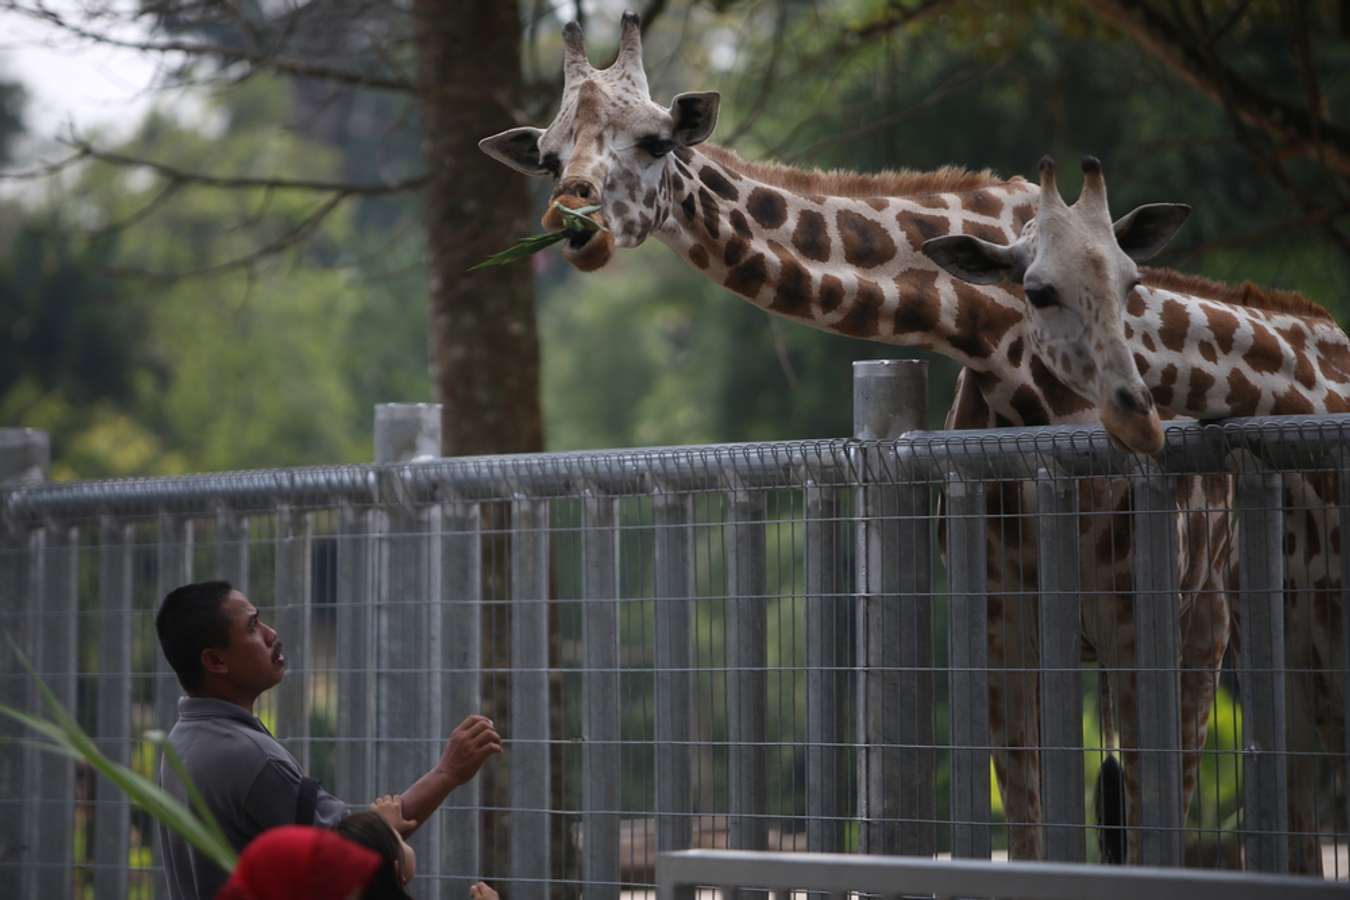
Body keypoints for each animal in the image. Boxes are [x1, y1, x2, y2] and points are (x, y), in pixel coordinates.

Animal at [480, 12, 1344, 874]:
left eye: (657, 141)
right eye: (550, 155)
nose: (574, 222)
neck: (1004, 360)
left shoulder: (1169, 628)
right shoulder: (1005, 629)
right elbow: (1033, 835)